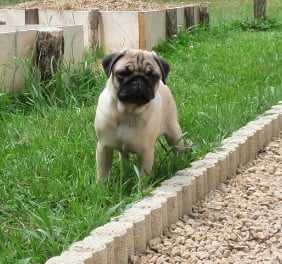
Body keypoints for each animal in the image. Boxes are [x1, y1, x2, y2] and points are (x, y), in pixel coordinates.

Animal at [93, 49, 184, 182]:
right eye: (122, 73)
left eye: (153, 76)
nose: (139, 80)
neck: (127, 111)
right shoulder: (104, 147)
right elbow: (102, 173)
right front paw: (101, 186)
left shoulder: (145, 153)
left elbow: (142, 178)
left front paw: (140, 187)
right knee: (123, 157)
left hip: (174, 133)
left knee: (178, 149)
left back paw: (180, 163)